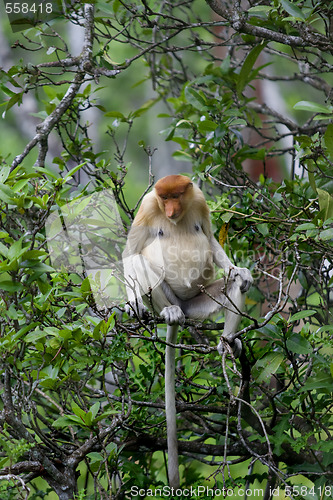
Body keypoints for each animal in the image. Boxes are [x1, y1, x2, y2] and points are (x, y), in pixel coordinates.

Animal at [122, 175, 252, 488]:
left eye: (177, 196)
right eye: (164, 198)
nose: (170, 210)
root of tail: (184, 305)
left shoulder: (200, 201)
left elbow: (211, 238)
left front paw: (241, 270)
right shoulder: (148, 207)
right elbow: (130, 253)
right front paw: (132, 304)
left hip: (199, 302)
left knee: (232, 284)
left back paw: (228, 343)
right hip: (170, 297)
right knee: (142, 260)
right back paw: (170, 313)